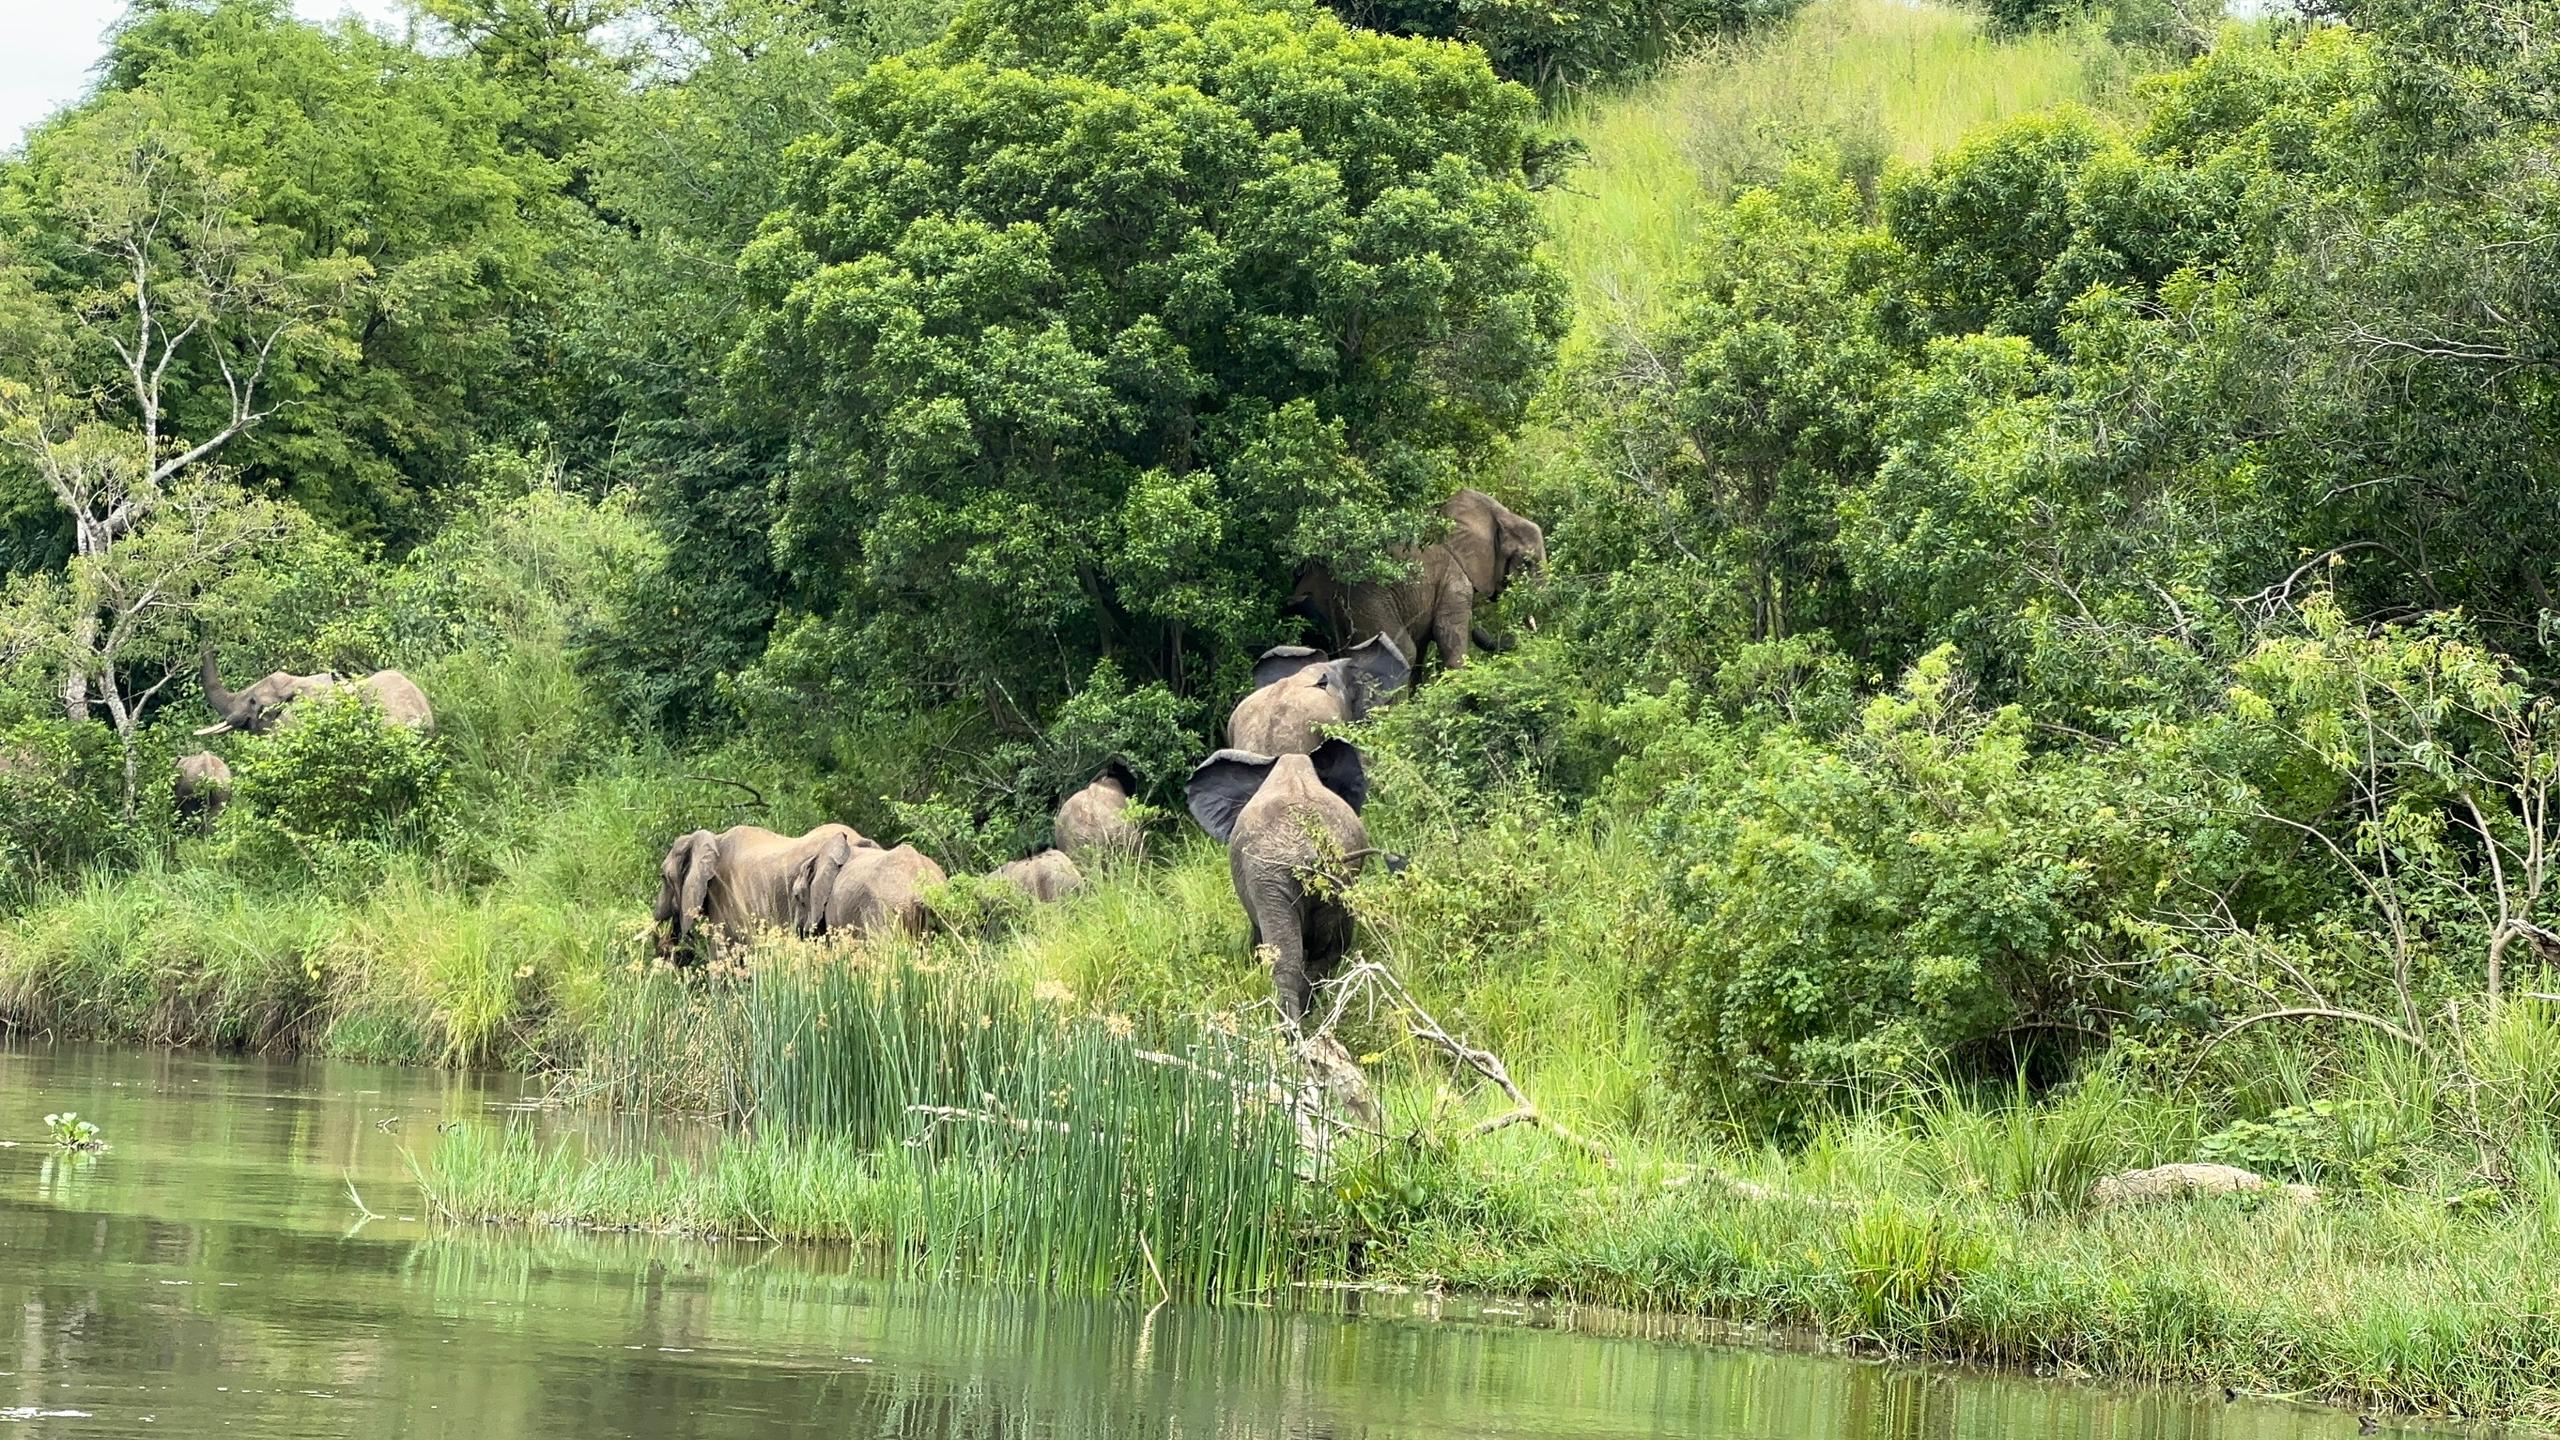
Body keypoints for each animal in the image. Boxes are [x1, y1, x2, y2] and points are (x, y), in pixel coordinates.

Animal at [1288, 488, 1545, 674]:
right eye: (1527, 563)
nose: (1479, 629)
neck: (1496, 514)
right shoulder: (1453, 575)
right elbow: (1446, 632)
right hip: (1366, 599)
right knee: (1404, 651)